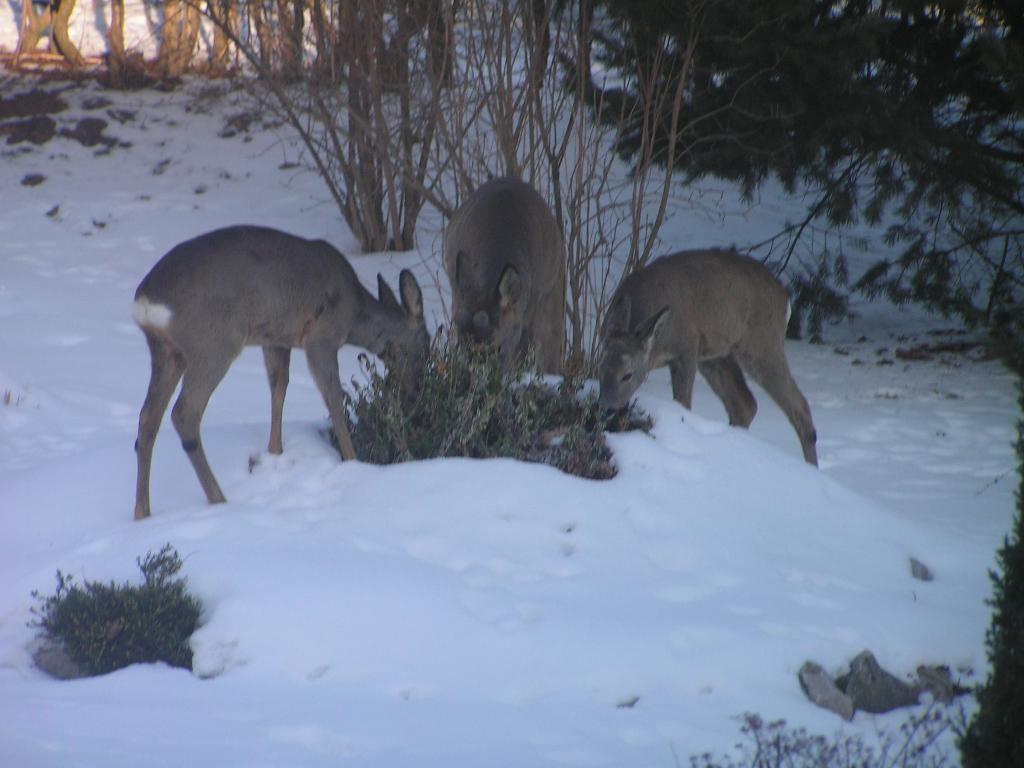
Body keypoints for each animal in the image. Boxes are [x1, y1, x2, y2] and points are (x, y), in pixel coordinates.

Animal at [131, 225, 428, 520]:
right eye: (425, 347)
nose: (415, 391)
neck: (354, 314)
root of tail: (145, 303)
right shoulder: (322, 336)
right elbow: (334, 398)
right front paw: (353, 462)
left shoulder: (276, 339)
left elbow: (279, 386)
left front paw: (275, 452)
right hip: (214, 343)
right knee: (184, 413)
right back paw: (219, 499)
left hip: (167, 353)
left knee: (148, 418)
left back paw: (142, 513)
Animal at [598, 250, 819, 468]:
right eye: (601, 371)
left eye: (627, 375)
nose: (606, 408)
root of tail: (785, 297)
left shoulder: (687, 346)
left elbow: (683, 403)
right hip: (717, 354)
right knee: (745, 404)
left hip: (762, 344)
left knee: (799, 405)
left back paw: (811, 468)